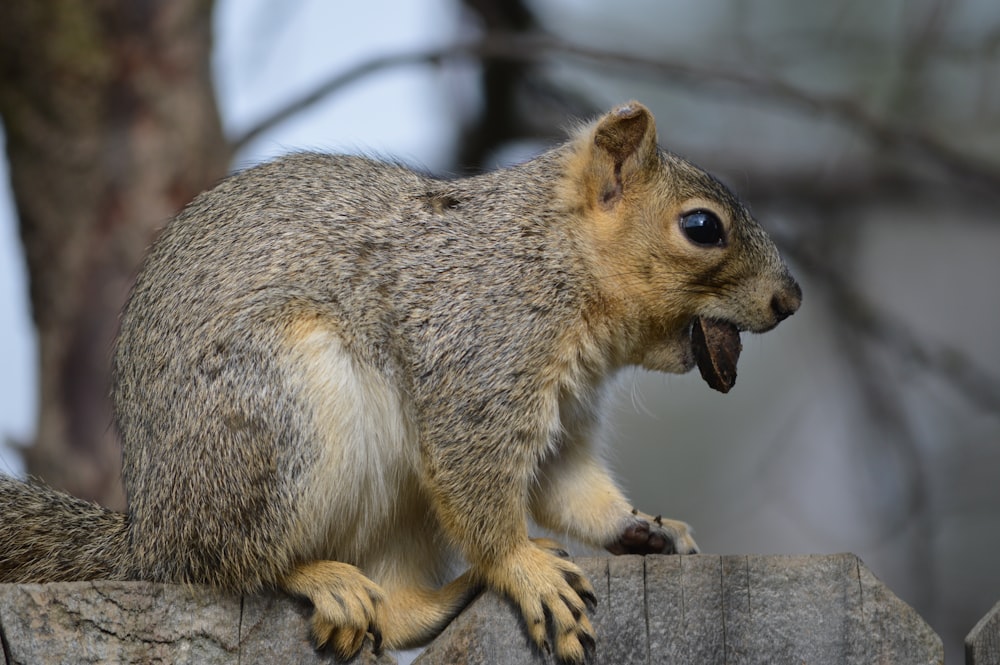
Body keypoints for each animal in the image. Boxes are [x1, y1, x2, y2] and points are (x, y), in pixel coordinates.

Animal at [0, 101, 796, 660]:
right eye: (702, 227)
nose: (789, 300)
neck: (552, 256)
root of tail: (149, 533)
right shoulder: (478, 362)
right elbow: (482, 484)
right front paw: (522, 567)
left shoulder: (563, 409)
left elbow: (566, 486)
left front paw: (642, 527)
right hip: (279, 419)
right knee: (227, 562)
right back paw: (321, 577)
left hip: (396, 503)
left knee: (398, 605)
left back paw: (435, 597)